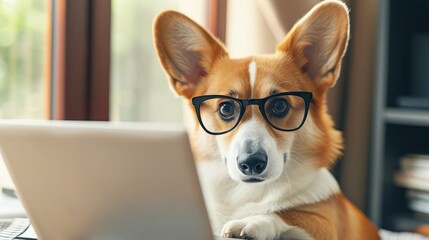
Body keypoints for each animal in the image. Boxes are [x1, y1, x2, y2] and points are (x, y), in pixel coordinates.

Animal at [153, 0, 378, 239]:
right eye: (225, 108)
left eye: (279, 106)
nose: (251, 162)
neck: (247, 193)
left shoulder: (324, 224)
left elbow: (289, 213)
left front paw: (252, 221)